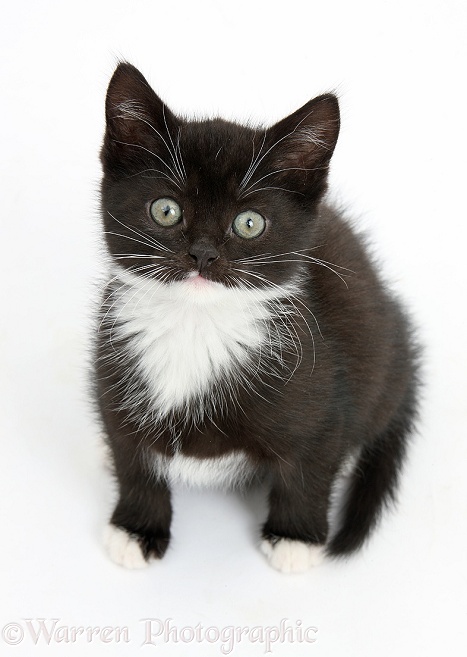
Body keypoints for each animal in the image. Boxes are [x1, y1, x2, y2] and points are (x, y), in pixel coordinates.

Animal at [95, 62, 420, 576]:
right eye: (165, 210)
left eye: (249, 223)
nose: (203, 254)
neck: (196, 326)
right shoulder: (112, 376)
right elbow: (132, 458)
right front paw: (137, 528)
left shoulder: (324, 397)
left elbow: (309, 470)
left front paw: (295, 538)